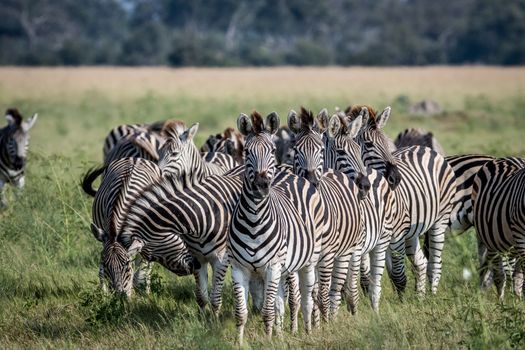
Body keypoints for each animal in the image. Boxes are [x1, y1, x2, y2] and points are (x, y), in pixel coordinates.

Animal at [86, 157, 196, 296]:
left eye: (127, 265)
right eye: (106, 265)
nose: (119, 295)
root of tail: (134, 158)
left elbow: (140, 271)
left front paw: (135, 293)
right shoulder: (104, 236)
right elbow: (102, 272)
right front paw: (105, 294)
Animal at [229, 112, 324, 344]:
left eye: (272, 150)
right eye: (246, 152)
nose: (262, 184)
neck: (254, 220)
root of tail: (295, 175)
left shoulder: (272, 267)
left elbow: (267, 311)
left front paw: (268, 340)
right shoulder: (239, 268)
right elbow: (242, 312)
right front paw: (240, 342)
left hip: (309, 261)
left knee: (307, 298)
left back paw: (308, 331)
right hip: (284, 268)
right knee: (282, 301)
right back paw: (282, 333)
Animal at [284, 106, 366, 318]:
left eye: (321, 150)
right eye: (296, 151)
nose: (365, 185)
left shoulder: (330, 253)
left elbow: (325, 292)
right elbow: (306, 294)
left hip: (351, 249)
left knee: (345, 285)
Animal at [350, 104, 456, 296]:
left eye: (387, 143)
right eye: (368, 144)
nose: (396, 178)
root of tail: (426, 149)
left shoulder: (396, 234)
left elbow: (398, 275)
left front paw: (401, 302)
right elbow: (367, 276)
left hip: (440, 220)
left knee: (435, 264)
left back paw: (432, 297)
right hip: (412, 229)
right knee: (421, 263)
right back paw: (420, 297)